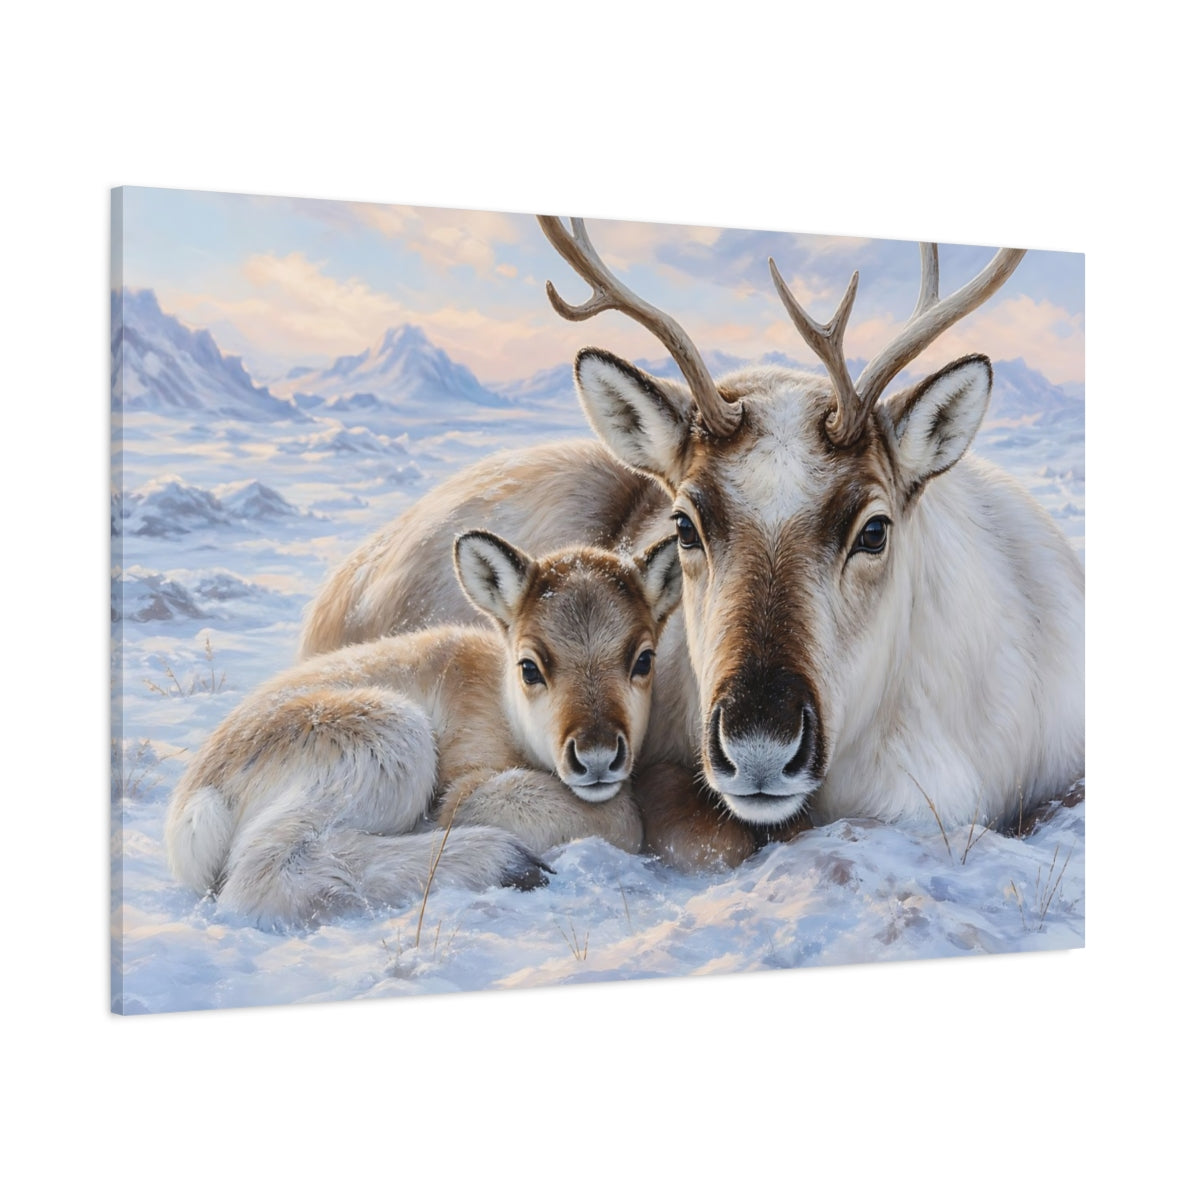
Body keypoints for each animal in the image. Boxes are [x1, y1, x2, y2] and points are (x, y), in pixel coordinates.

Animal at [165, 530, 682, 925]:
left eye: (643, 659)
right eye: (530, 667)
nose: (596, 756)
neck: (502, 705)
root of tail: (197, 795)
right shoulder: (469, 774)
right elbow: (622, 817)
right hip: (392, 739)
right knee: (262, 873)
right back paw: (507, 862)